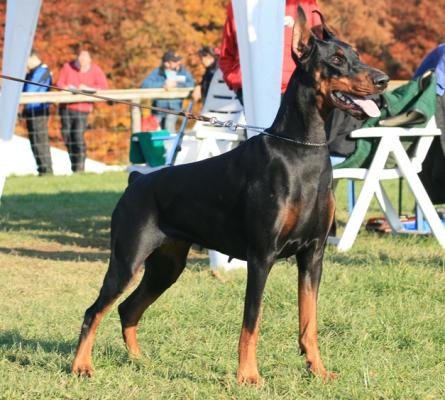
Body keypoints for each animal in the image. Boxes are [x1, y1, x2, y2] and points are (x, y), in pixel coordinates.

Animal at [71, 7, 386, 384]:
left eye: (357, 55)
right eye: (337, 59)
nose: (383, 80)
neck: (303, 150)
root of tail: (136, 180)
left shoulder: (313, 255)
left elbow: (309, 321)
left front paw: (319, 371)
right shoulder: (261, 256)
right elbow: (252, 321)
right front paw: (248, 375)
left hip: (167, 265)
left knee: (127, 308)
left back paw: (139, 361)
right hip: (127, 259)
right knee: (94, 310)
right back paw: (81, 366)